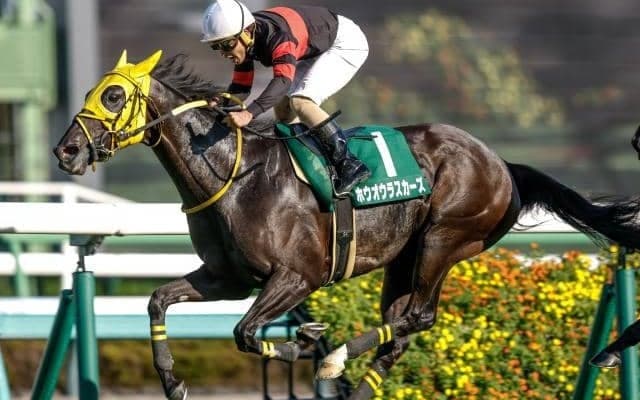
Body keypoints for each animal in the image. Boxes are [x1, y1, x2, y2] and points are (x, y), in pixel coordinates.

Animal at [53, 51, 640, 400]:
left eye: (112, 96)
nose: (67, 151)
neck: (236, 173)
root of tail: (501, 163)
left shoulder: (297, 277)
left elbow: (245, 333)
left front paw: (307, 343)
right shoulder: (228, 278)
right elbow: (158, 300)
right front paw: (173, 381)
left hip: (445, 237)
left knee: (419, 317)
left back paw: (336, 359)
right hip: (404, 259)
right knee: (401, 329)